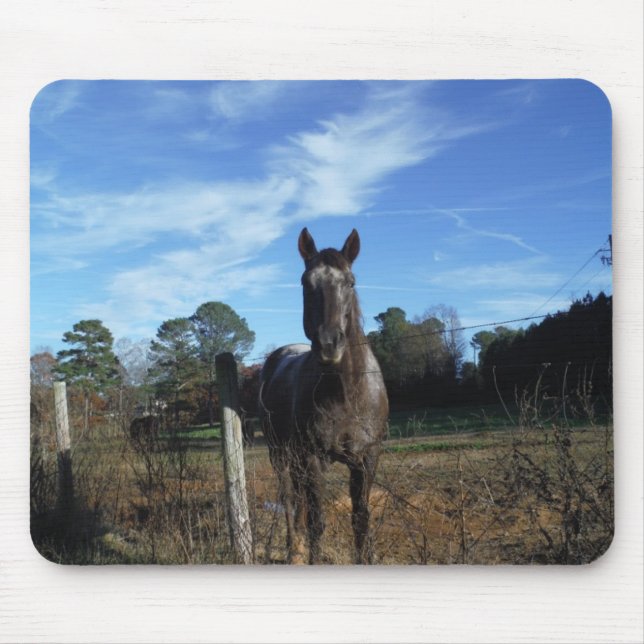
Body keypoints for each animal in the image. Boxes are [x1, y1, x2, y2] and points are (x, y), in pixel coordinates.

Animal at [259, 228, 389, 564]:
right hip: (280, 454)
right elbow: (317, 522)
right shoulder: (314, 458)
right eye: (306, 283)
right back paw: (294, 548)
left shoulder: (367, 458)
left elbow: (360, 519)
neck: (347, 393)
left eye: (351, 282)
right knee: (290, 498)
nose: (330, 343)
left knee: (299, 498)